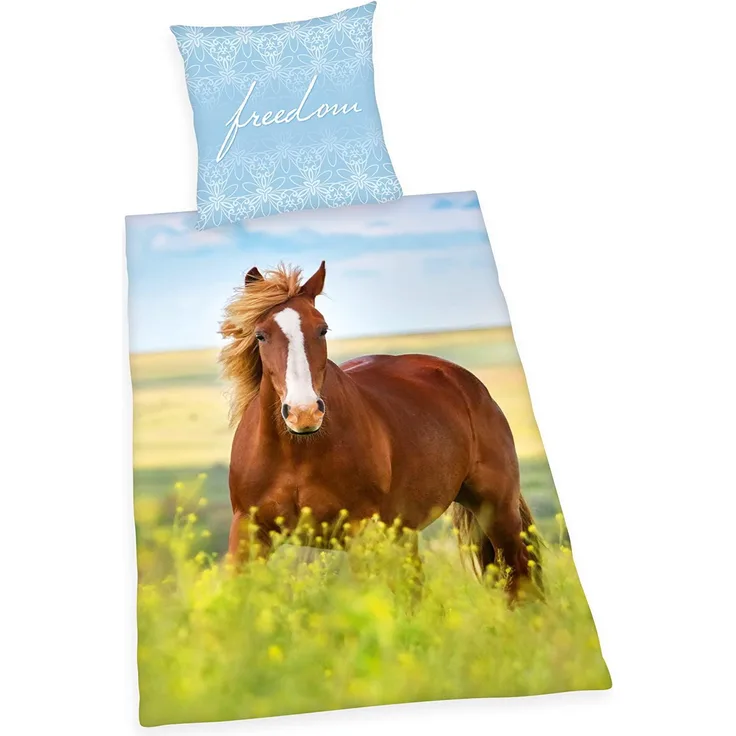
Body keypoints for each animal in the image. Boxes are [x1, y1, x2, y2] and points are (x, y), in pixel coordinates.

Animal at [219, 262, 542, 597]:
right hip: (406, 531)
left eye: (322, 329)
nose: (303, 412)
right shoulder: (248, 531)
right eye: (261, 335)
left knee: (519, 577)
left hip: (497, 510)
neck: (298, 452)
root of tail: (465, 381)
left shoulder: (361, 533)